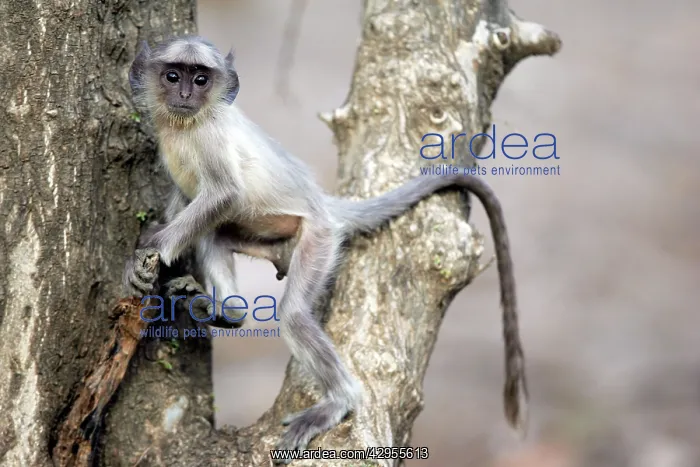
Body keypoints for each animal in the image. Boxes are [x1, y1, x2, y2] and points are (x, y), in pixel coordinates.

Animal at [122, 36, 528, 461]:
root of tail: (323, 204)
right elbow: (183, 199)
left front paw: (149, 250)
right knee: (211, 233)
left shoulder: (211, 137)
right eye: (173, 76)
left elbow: (223, 194)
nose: (186, 94)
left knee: (294, 314)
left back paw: (339, 400)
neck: (185, 125)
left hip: (317, 238)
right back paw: (228, 311)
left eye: (200, 79)